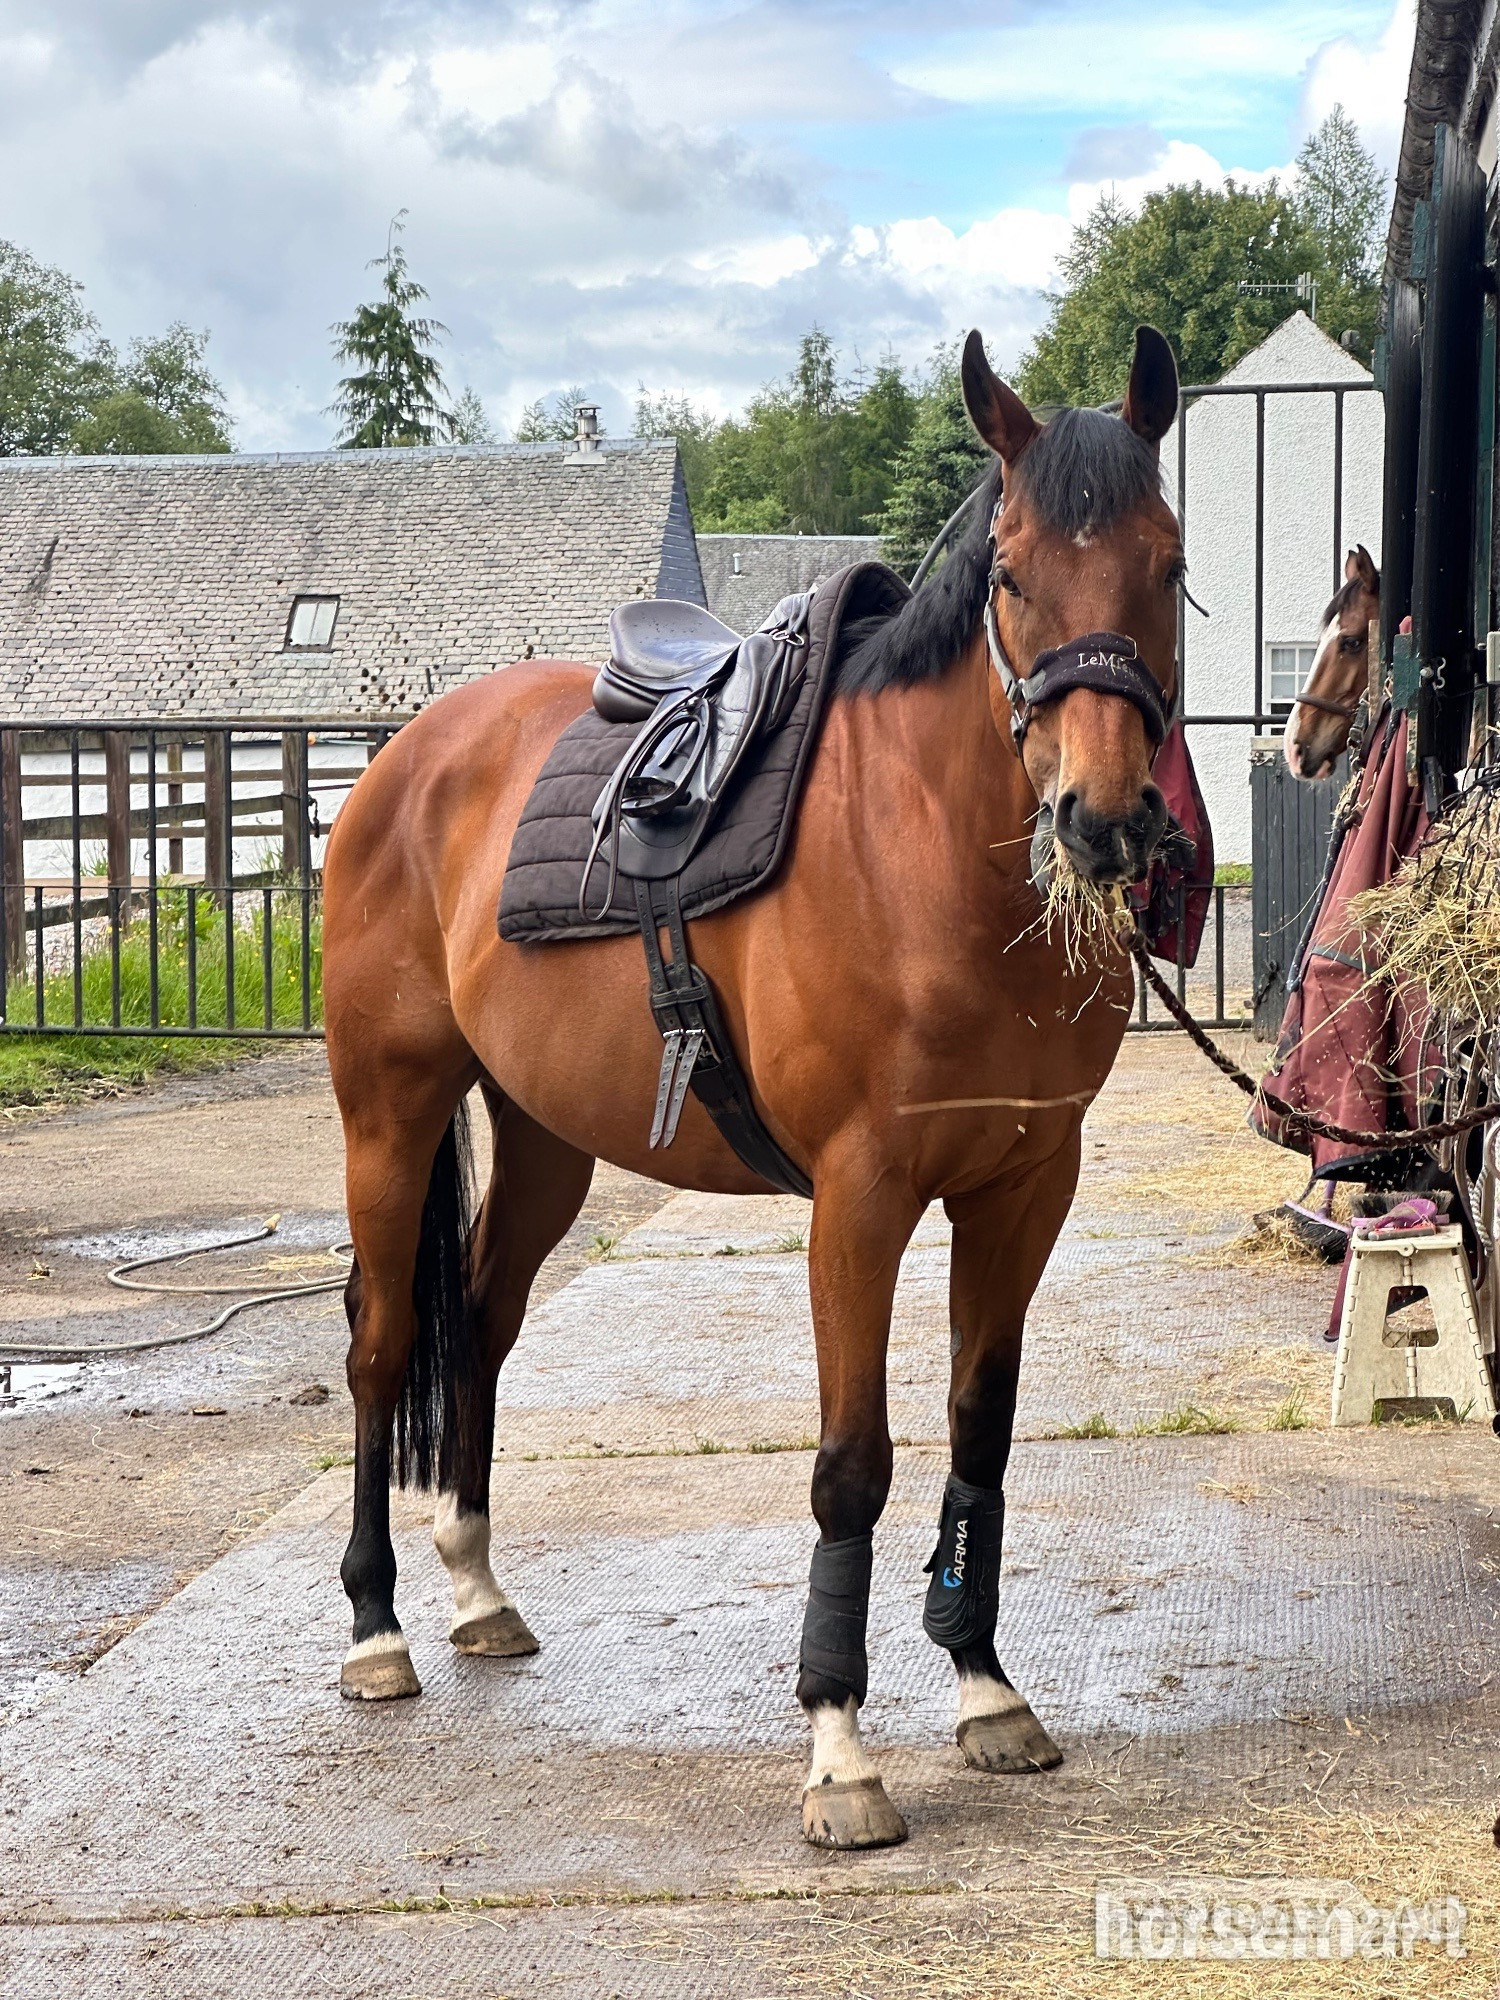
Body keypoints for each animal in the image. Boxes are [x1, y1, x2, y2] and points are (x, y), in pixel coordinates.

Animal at [321, 323, 1187, 1851]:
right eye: (1014, 573)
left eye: (1169, 560)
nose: (1102, 819)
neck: (922, 858)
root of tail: (403, 761)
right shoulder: (860, 1196)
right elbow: (854, 1459)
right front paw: (840, 1748)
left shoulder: (1023, 1188)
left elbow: (980, 1430)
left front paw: (984, 1687)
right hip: (390, 1113)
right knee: (382, 1348)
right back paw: (378, 1630)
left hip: (543, 1141)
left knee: (479, 1320)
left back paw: (478, 1591)